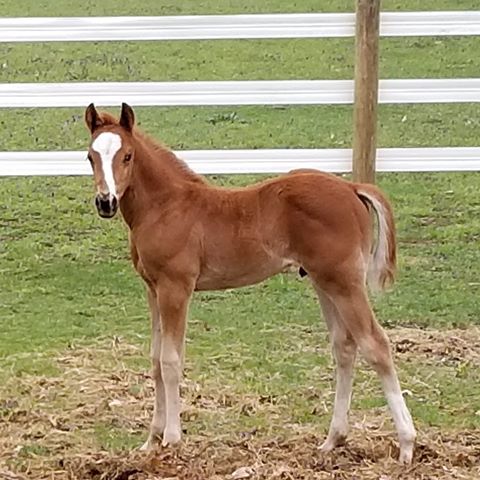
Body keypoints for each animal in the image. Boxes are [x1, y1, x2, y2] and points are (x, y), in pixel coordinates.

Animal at [85, 103, 416, 464]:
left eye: (127, 156)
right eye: (90, 156)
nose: (105, 202)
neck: (167, 207)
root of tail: (352, 188)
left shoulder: (176, 288)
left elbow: (171, 361)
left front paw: (172, 439)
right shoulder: (152, 288)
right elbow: (156, 360)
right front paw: (151, 441)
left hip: (345, 282)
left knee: (375, 344)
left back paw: (406, 445)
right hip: (324, 282)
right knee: (344, 346)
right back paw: (333, 440)